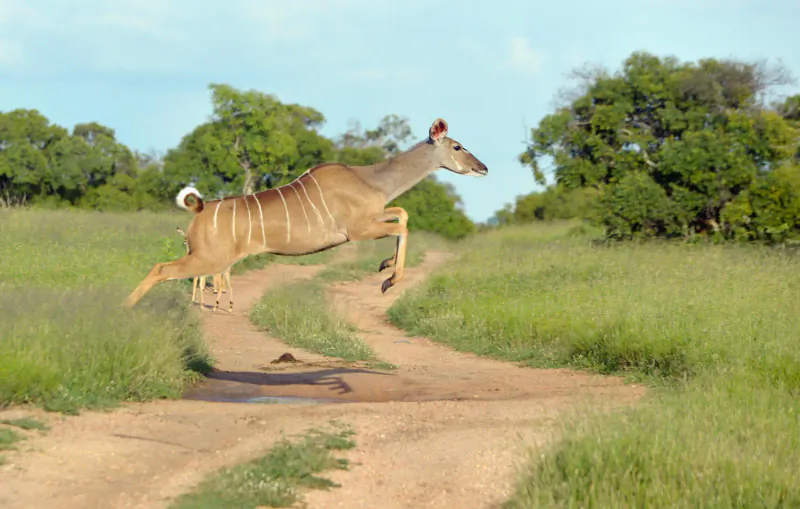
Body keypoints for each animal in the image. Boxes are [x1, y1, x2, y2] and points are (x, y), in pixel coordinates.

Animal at [123, 118, 487, 309]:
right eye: (457, 147)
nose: (482, 167)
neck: (371, 179)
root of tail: (200, 210)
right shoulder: (356, 231)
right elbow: (403, 226)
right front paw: (388, 280)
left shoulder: (374, 217)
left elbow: (402, 215)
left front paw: (384, 265)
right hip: (208, 259)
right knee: (161, 269)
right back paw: (122, 312)